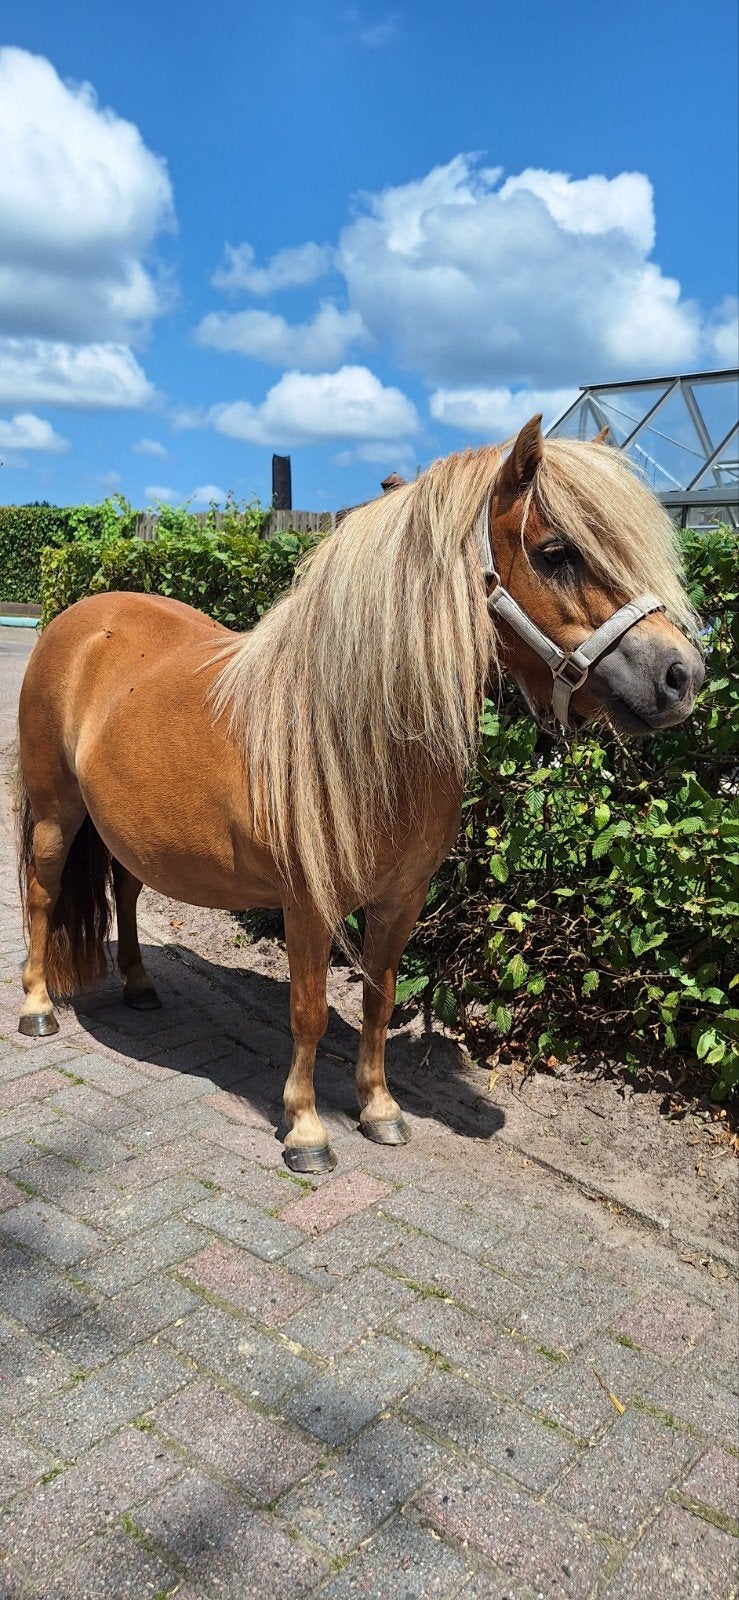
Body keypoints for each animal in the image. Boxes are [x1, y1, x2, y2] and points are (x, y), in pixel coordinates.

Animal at [16, 416, 704, 1172]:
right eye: (556, 553)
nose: (682, 676)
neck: (354, 736)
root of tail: (81, 617)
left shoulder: (402, 898)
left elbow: (379, 997)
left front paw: (378, 1110)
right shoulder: (307, 904)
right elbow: (310, 1011)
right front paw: (306, 1130)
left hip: (126, 830)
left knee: (127, 893)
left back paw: (139, 986)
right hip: (56, 815)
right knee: (44, 895)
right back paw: (37, 1007)